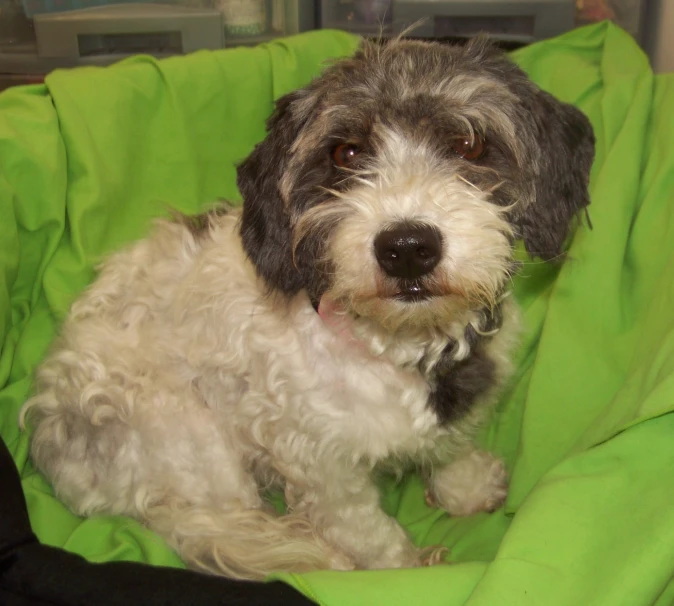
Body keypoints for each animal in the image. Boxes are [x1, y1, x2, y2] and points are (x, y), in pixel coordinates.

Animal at [18, 35, 592, 580]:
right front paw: (400, 569)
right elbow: (366, 531)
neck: (402, 345)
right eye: (346, 154)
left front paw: (466, 487)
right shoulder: (321, 464)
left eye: (468, 144)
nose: (407, 247)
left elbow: (450, 446)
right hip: (192, 443)